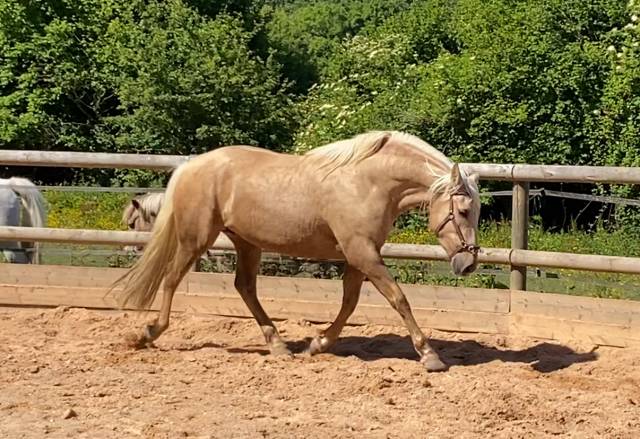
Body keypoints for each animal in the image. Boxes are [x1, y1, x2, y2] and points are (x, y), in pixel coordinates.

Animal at [113, 131, 481, 372]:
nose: (468, 263)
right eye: (463, 211)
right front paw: (430, 356)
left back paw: (279, 346)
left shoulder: (359, 256)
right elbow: (398, 298)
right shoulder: (362, 253)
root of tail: (190, 167)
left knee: (245, 287)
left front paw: (316, 345)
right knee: (172, 278)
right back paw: (149, 332)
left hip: (246, 243)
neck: (368, 183)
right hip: (196, 239)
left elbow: (349, 304)